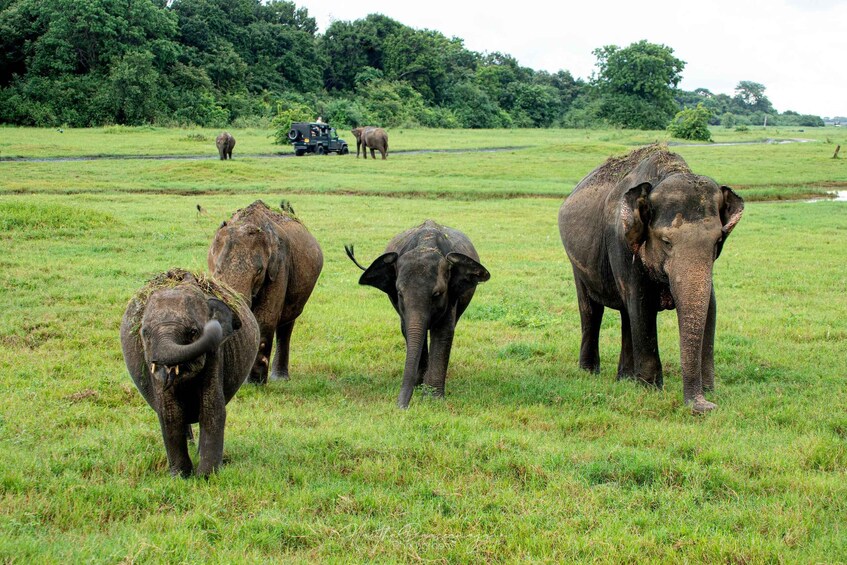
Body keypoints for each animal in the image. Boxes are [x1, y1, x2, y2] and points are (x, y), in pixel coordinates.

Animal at [120, 269, 260, 477]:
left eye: (193, 332)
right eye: (145, 333)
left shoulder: (216, 355)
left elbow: (211, 408)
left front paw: (206, 476)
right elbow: (170, 413)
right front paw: (180, 476)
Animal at [208, 200, 323, 384]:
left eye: (259, 271)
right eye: (218, 269)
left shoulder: (280, 267)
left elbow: (265, 317)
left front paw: (255, 383)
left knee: (286, 325)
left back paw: (280, 379)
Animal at [345, 220, 490, 408]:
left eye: (437, 294)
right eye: (399, 293)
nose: (401, 407)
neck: (425, 244)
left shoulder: (451, 295)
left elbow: (443, 332)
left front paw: (433, 399)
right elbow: (407, 329)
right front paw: (420, 388)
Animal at [558, 144, 743, 414]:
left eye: (717, 241)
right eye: (666, 242)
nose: (704, 406)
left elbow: (711, 307)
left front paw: (709, 392)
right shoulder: (622, 244)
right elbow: (642, 305)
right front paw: (651, 389)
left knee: (626, 314)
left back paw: (624, 379)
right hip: (577, 263)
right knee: (592, 309)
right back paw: (590, 373)